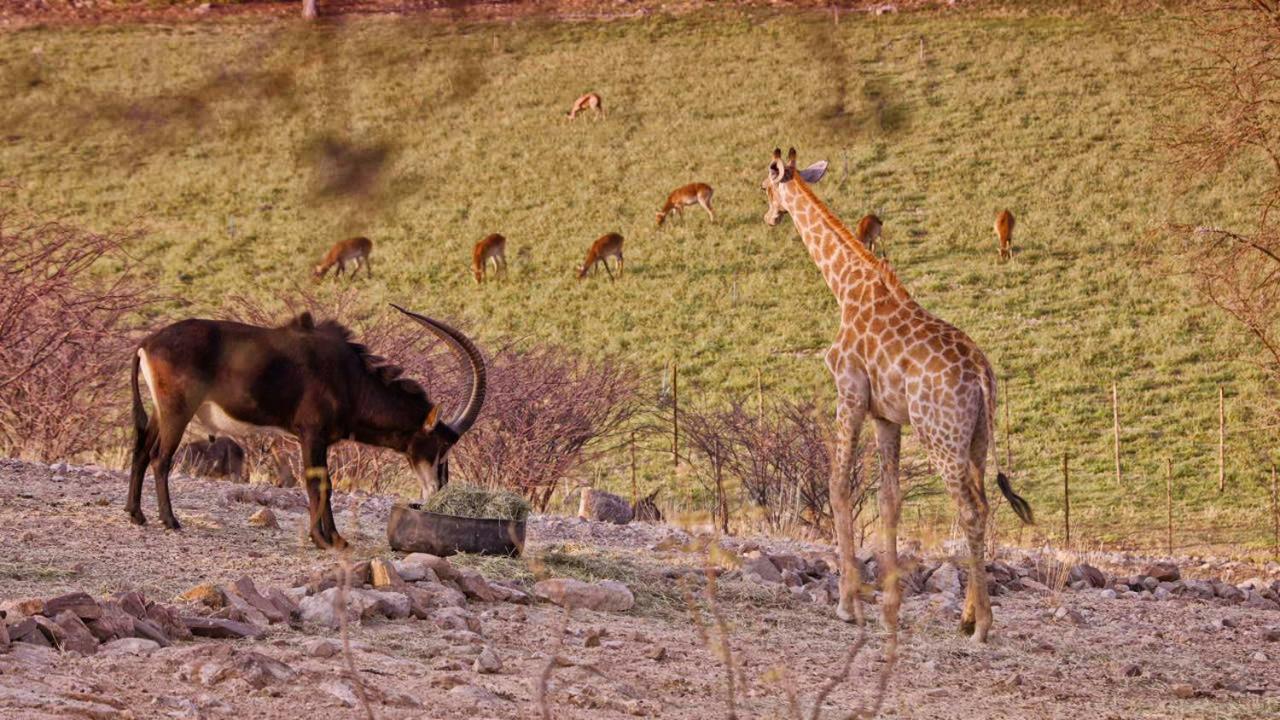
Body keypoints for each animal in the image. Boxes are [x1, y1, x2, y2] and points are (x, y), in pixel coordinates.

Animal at [126, 301, 483, 543]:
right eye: (442, 446)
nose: (437, 491)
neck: (352, 379)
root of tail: (147, 343)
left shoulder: (320, 440)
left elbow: (324, 484)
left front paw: (335, 538)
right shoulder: (311, 435)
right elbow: (317, 484)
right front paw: (323, 539)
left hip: (160, 412)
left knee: (141, 451)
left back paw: (136, 515)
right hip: (178, 411)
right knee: (160, 458)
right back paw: (170, 520)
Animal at [757, 146, 1029, 638]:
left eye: (764, 186)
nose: (769, 216)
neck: (846, 287)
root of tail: (982, 374)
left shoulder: (849, 393)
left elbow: (838, 485)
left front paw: (849, 605)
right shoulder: (886, 415)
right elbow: (889, 500)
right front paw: (890, 604)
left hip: (940, 435)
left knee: (970, 509)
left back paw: (982, 624)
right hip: (978, 437)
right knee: (982, 505)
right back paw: (967, 616)